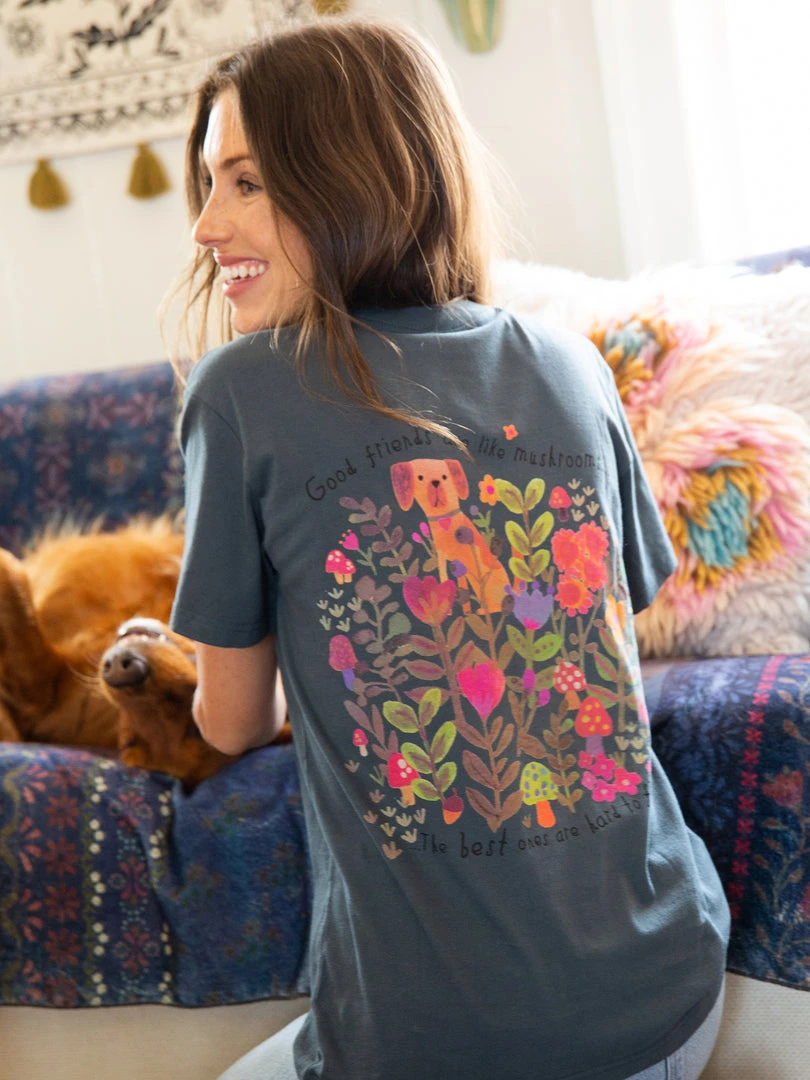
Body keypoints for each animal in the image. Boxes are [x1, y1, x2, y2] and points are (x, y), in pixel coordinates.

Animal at [390, 458, 510, 613]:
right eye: (420, 477)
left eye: (445, 477)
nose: (435, 482)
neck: (444, 519)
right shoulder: (443, 557)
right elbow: (444, 577)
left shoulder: (462, 560)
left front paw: (466, 612)